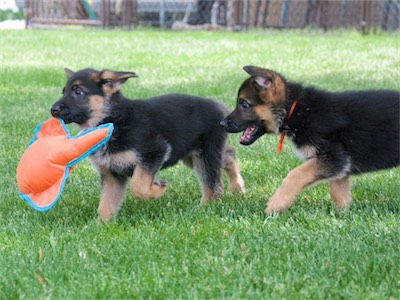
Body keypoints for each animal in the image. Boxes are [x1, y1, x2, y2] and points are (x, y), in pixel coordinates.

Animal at [50, 69, 244, 221]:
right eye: (63, 91)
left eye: (78, 92)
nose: (53, 110)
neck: (113, 121)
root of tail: (221, 108)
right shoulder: (111, 173)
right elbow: (106, 204)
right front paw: (101, 227)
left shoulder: (155, 151)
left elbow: (139, 186)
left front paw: (158, 189)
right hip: (192, 153)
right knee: (229, 155)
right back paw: (237, 188)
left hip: (206, 153)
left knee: (213, 183)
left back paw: (205, 207)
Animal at [220, 66, 398, 213]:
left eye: (244, 104)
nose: (221, 123)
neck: (296, 110)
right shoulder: (340, 165)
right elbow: (338, 191)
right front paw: (342, 215)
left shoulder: (334, 158)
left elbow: (295, 175)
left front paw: (275, 206)